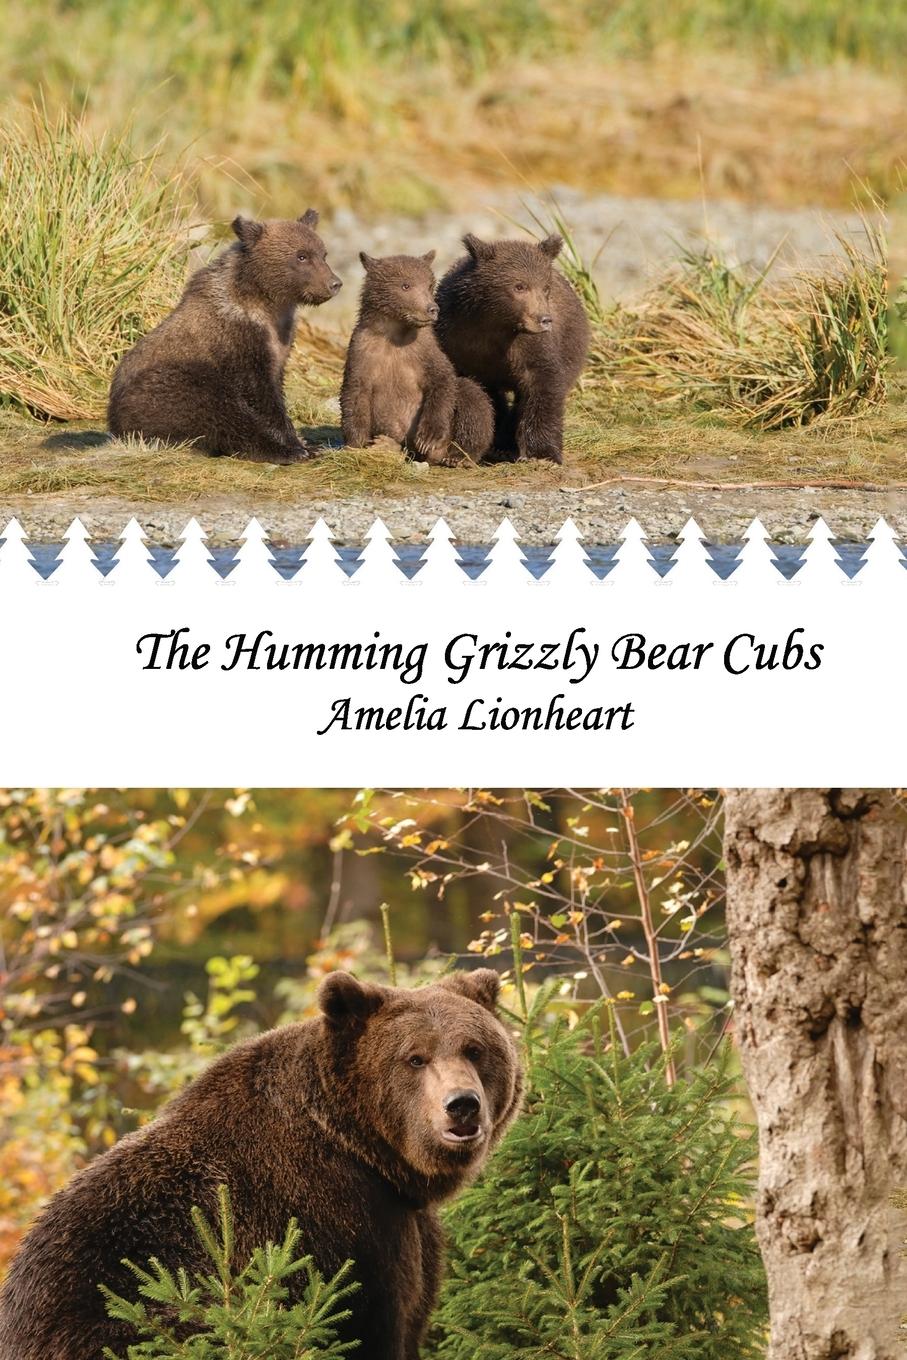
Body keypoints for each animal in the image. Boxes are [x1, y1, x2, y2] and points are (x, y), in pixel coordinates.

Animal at [0, 968, 523, 1360]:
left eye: (475, 1049)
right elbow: (367, 1321)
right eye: (415, 1058)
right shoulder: (343, 1223)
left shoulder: (405, 1225)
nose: (462, 1105)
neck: (364, 1151)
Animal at [108, 211, 342, 465]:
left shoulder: (282, 341)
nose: (334, 283)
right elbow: (260, 396)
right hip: (165, 389)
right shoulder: (239, 341)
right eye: (301, 256)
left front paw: (305, 444)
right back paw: (280, 452)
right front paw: (296, 446)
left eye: (323, 254)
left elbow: (275, 384)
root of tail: (115, 426)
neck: (266, 303)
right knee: (219, 412)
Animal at [340, 252, 494, 466]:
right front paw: (356, 445)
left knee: (471, 396)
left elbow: (442, 380)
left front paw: (428, 437)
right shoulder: (362, 350)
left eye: (429, 285)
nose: (432, 309)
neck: (395, 334)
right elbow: (354, 395)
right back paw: (386, 444)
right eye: (406, 285)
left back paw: (458, 456)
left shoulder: (424, 350)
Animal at [435, 233, 590, 465]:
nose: (544, 319)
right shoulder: (457, 338)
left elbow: (542, 384)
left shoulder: (530, 346)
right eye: (519, 286)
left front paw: (542, 453)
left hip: (571, 345)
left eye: (545, 287)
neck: (495, 322)